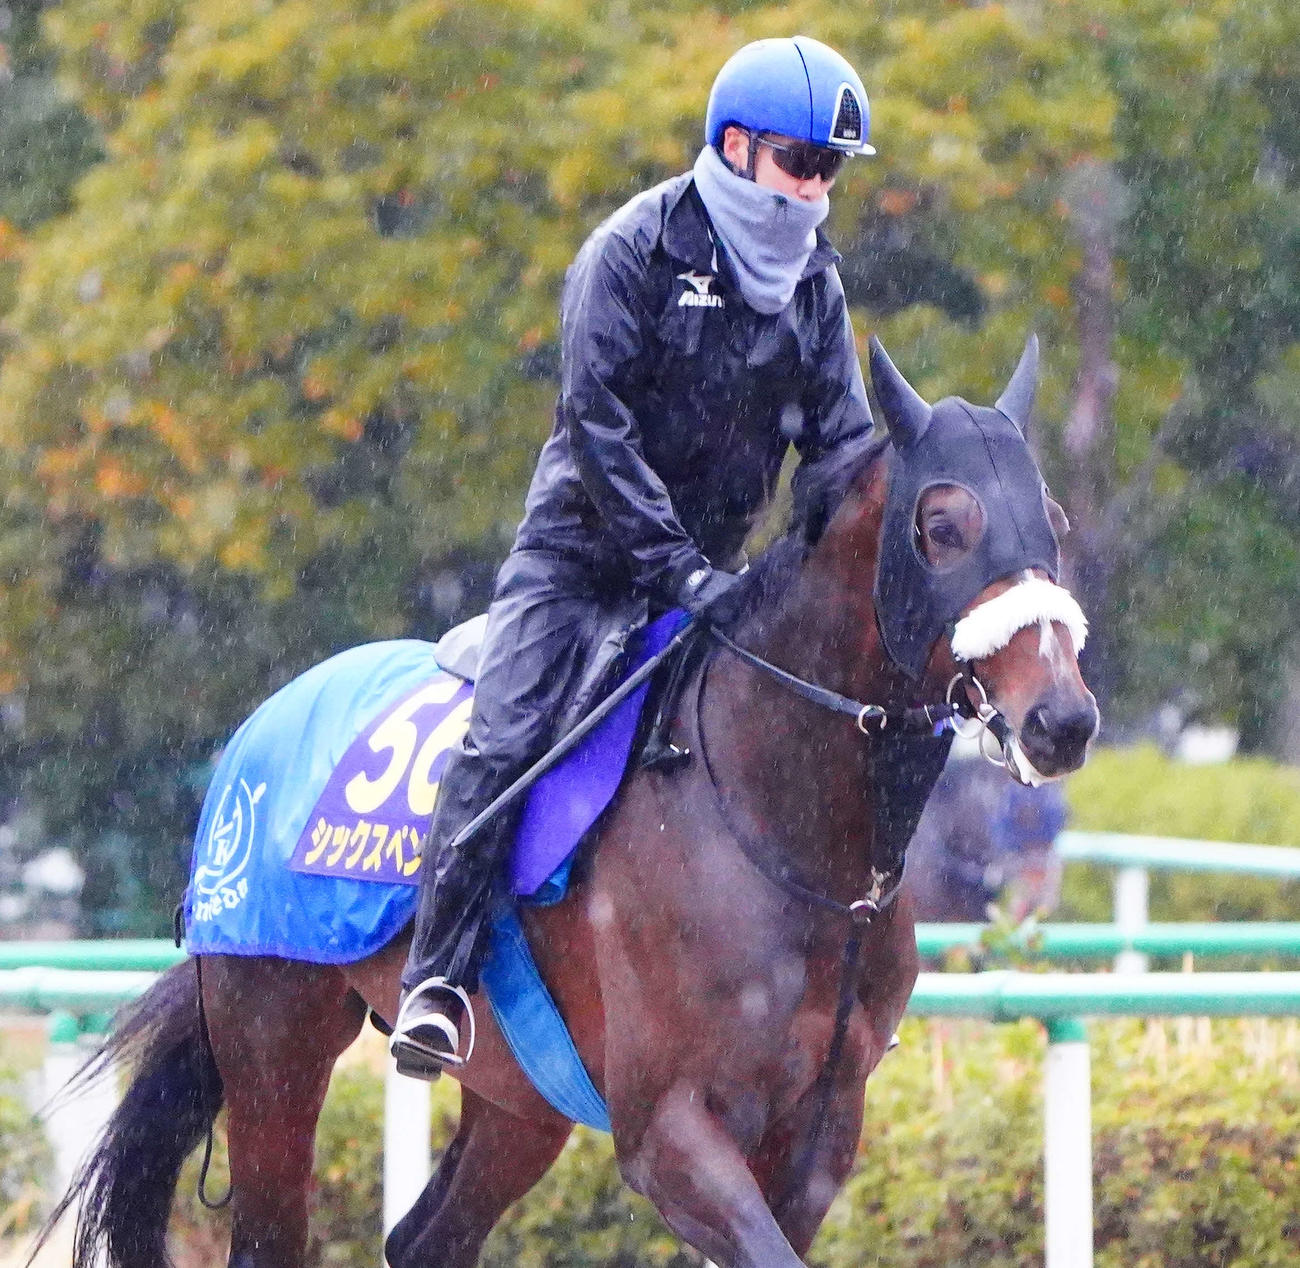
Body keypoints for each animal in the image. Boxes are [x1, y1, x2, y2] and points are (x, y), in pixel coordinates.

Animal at [38, 336, 1098, 1268]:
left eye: (1054, 520)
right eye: (943, 525)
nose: (1062, 718)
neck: (781, 831)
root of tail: (261, 725)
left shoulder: (819, 1135)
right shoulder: (669, 1129)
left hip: (519, 1097)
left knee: (427, 1240)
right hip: (274, 1040)